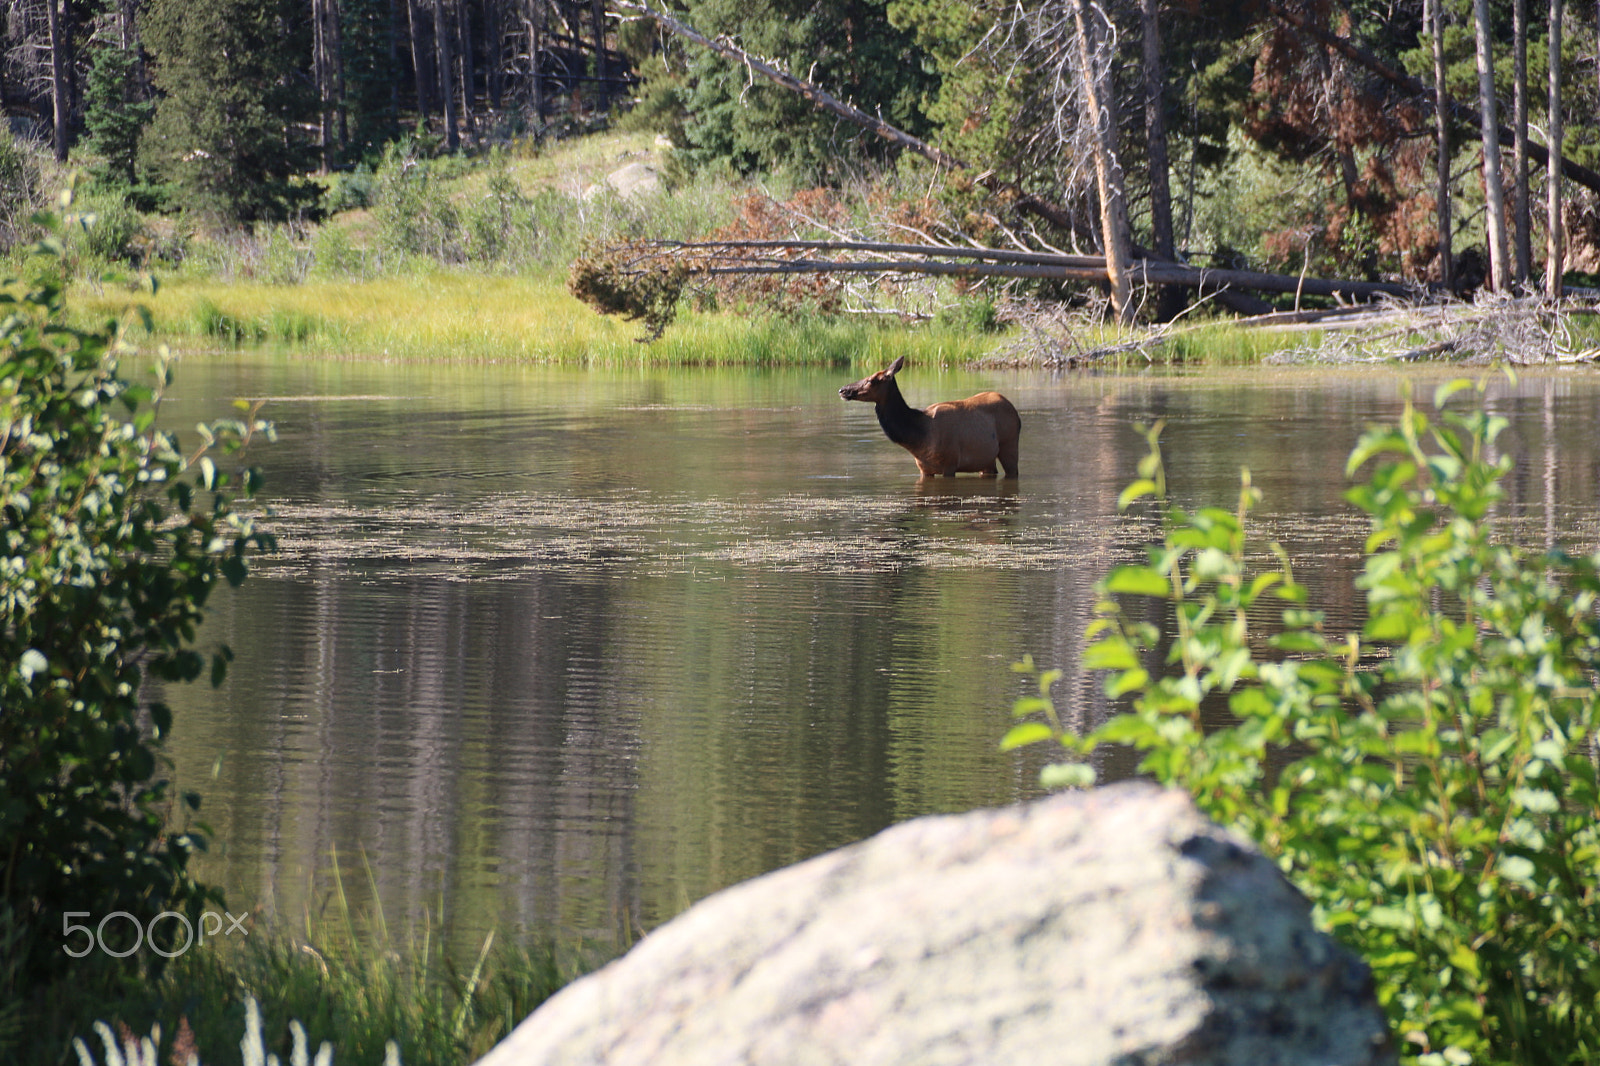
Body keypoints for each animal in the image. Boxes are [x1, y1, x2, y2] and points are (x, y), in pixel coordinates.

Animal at [838, 355, 1024, 473]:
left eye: (871, 380)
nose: (843, 390)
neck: (918, 437)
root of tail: (1016, 413)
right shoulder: (924, 468)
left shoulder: (950, 463)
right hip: (986, 459)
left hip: (1010, 446)